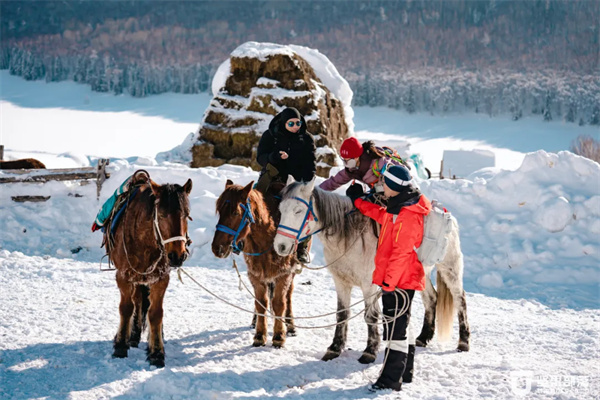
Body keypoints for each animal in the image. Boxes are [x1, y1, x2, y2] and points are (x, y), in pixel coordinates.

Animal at [107, 171, 192, 368]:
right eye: (161, 214)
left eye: (187, 215)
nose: (178, 255)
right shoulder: (123, 276)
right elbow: (126, 308)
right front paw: (120, 345)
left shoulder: (161, 279)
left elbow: (156, 313)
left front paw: (157, 352)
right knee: (137, 302)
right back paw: (133, 336)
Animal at [211, 179, 297, 348]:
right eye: (219, 210)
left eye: (235, 213)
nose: (217, 248)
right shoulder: (255, 275)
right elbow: (261, 303)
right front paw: (259, 334)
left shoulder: (284, 274)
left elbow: (279, 303)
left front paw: (279, 335)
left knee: (289, 295)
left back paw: (290, 324)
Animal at [274, 177, 470, 362]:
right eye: (281, 209)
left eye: (298, 211)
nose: (280, 246)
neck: (348, 236)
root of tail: (448, 215)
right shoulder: (341, 282)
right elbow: (342, 314)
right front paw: (335, 348)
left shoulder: (368, 285)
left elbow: (371, 316)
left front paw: (369, 351)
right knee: (431, 298)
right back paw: (423, 337)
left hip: (450, 268)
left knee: (460, 299)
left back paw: (464, 341)